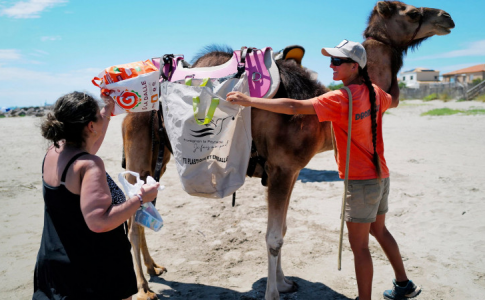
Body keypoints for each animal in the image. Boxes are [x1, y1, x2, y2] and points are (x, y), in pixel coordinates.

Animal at [122, 1, 454, 298]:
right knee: (131, 222)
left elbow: (282, 229)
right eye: (411, 12)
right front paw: (273, 294)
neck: (315, 112)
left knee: (143, 209)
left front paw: (284, 283)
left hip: (159, 160)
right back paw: (144, 288)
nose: (447, 17)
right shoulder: (281, 169)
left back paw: (154, 268)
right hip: (139, 153)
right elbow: (273, 238)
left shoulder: (292, 171)